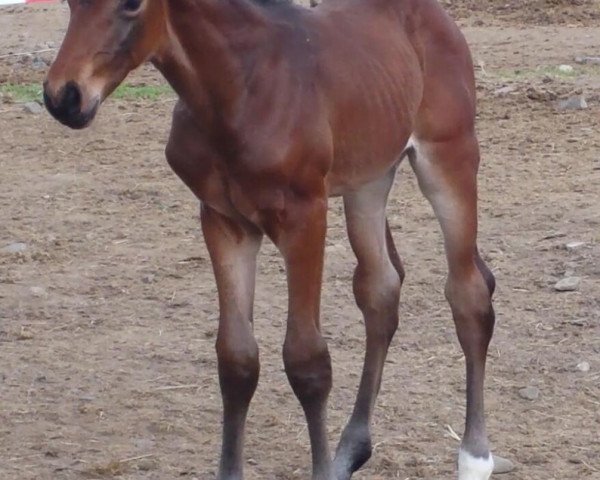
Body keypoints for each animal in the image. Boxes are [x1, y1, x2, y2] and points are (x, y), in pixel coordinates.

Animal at [43, 0, 496, 478]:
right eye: (70, 5)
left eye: (132, 5)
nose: (63, 97)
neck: (239, 89)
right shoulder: (224, 222)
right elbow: (237, 358)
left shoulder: (305, 218)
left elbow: (307, 360)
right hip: (369, 181)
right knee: (380, 289)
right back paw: (351, 449)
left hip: (448, 158)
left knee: (468, 293)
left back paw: (474, 458)